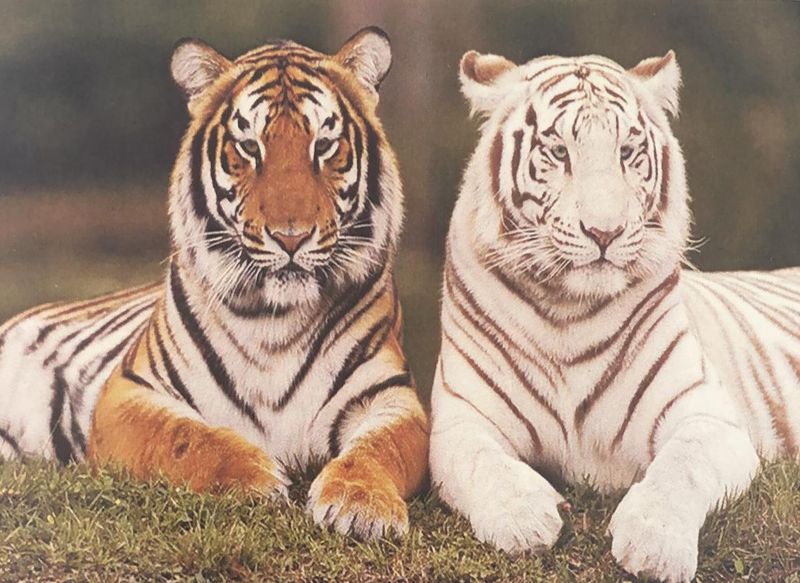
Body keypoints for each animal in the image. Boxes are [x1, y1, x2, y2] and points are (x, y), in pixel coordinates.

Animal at [0, 27, 428, 540]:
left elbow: (380, 449)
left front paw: (362, 504)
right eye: (249, 147)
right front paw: (256, 477)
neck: (275, 320)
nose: (290, 236)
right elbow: (186, 438)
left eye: (324, 146)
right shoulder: (129, 392)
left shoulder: (390, 397)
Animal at [429, 48, 800, 582]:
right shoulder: (461, 418)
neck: (567, 313)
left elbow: (683, 467)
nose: (604, 232)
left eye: (627, 152)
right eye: (558, 151)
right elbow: (482, 462)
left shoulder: (707, 415)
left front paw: (654, 544)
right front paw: (523, 518)